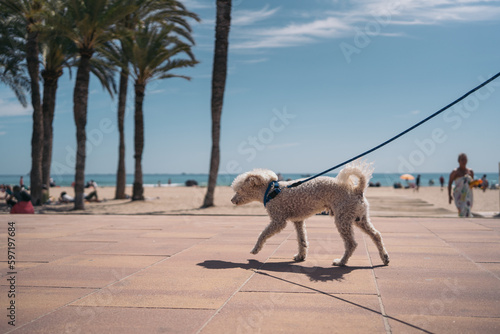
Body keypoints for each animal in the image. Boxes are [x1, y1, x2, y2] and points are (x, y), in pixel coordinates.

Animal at [231, 162, 390, 266]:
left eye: (239, 190)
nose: (232, 200)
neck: (271, 191)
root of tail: (357, 189)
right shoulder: (298, 221)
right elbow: (301, 240)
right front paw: (300, 256)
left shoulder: (278, 220)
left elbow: (263, 234)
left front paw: (255, 249)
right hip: (359, 218)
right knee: (376, 235)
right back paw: (384, 257)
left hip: (343, 219)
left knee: (351, 244)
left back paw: (341, 262)